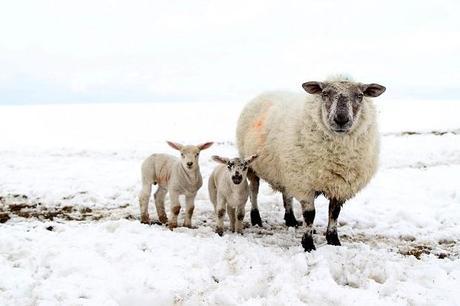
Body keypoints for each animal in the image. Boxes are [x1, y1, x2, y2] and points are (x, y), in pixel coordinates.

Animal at [237, 76, 384, 251]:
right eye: (325, 93)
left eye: (360, 96)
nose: (341, 119)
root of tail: (267, 92)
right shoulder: (304, 184)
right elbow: (310, 215)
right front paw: (308, 244)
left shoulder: (339, 186)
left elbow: (334, 213)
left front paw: (333, 240)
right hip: (251, 166)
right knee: (254, 191)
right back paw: (256, 218)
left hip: (287, 170)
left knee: (287, 194)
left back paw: (291, 219)